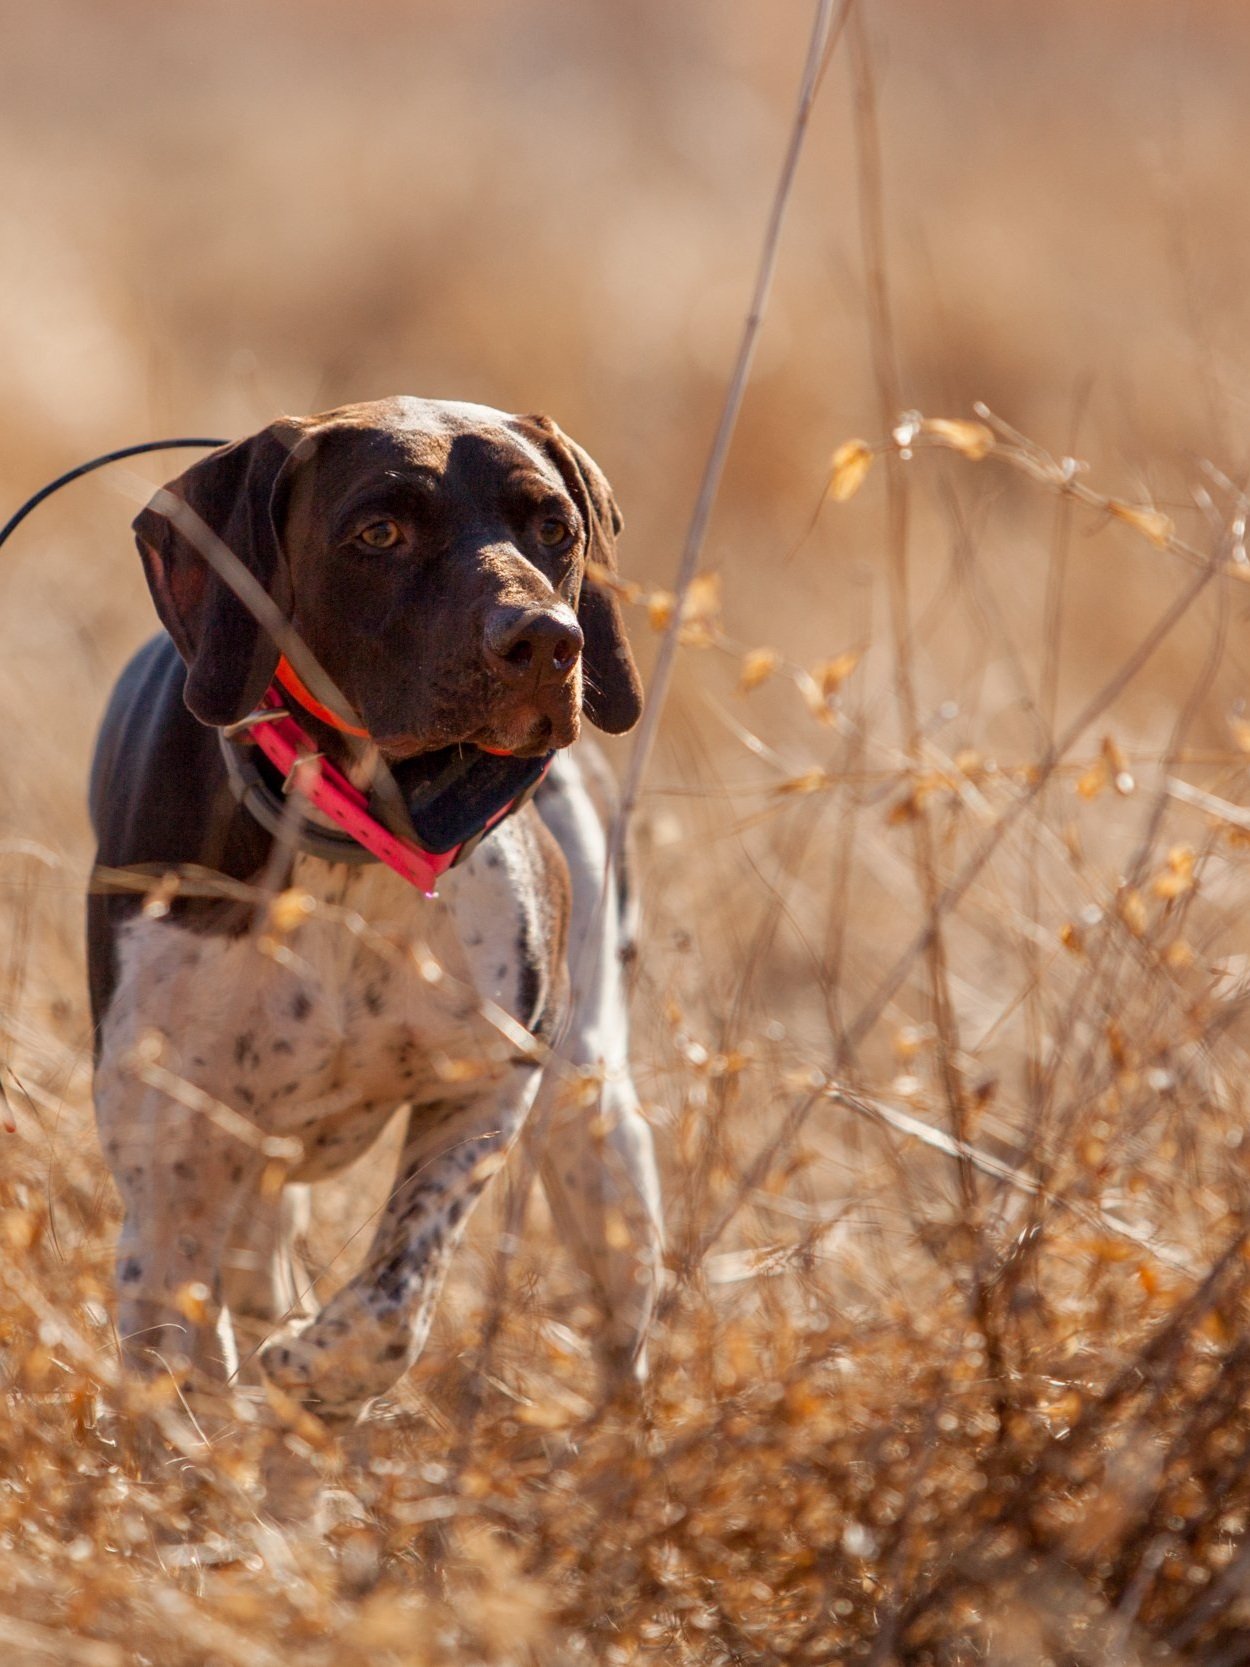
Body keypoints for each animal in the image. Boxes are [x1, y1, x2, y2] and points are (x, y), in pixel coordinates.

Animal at [88, 393, 666, 1420]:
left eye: (555, 527)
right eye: (379, 532)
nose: (548, 640)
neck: (354, 837)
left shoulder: (487, 1081)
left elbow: (394, 1303)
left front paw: (310, 1376)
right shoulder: (171, 1148)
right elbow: (175, 1354)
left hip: (596, 1125)